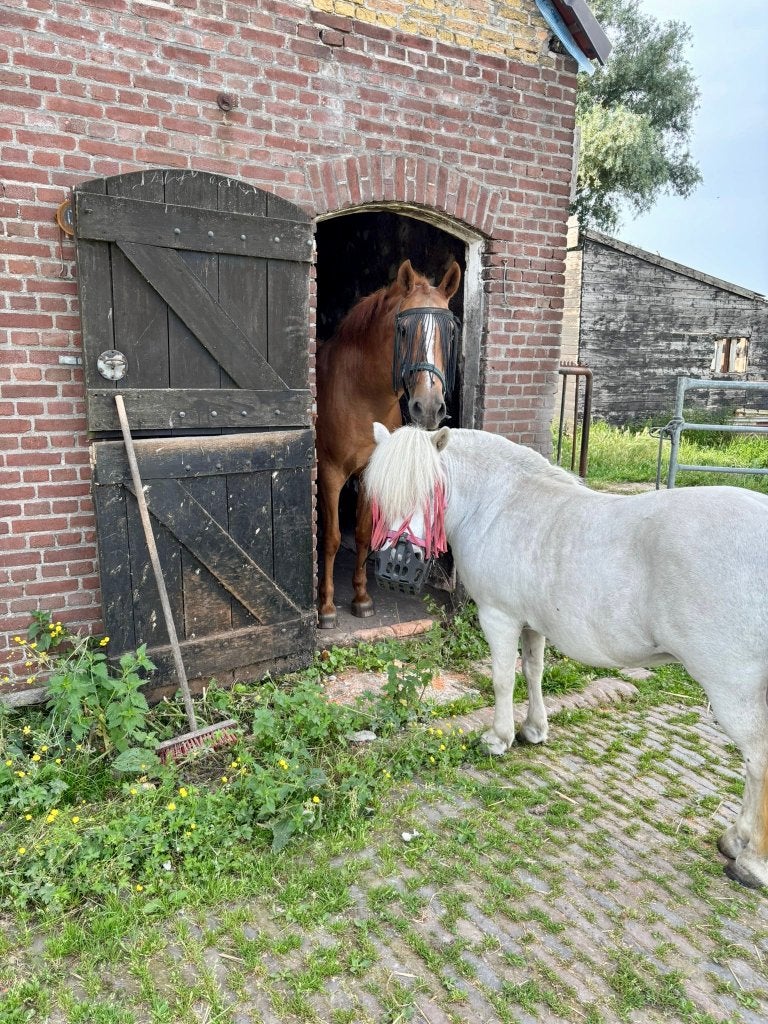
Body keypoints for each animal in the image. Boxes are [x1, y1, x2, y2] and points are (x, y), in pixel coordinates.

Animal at [314, 259, 461, 629]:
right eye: (404, 330)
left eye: (450, 333)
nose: (429, 407)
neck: (361, 395)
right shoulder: (331, 474)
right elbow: (332, 539)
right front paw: (326, 607)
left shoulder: (370, 473)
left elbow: (364, 533)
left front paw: (361, 598)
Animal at [365, 423, 768, 890]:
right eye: (380, 497)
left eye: (429, 490)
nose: (395, 568)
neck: (499, 505)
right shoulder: (532, 623)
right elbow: (534, 671)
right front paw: (534, 730)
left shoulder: (499, 617)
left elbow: (503, 679)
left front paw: (498, 738)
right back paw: (735, 840)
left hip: (732, 688)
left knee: (758, 757)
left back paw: (750, 860)